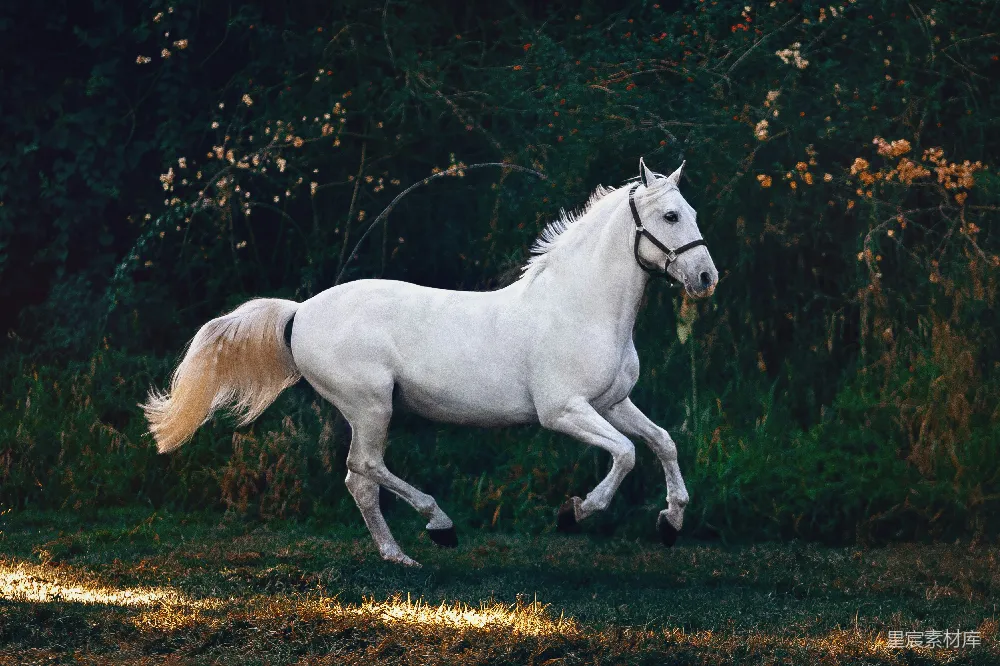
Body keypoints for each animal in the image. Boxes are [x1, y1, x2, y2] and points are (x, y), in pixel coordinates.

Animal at [143, 158, 718, 566]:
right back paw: (438, 526)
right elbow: (625, 454)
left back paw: (399, 556)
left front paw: (671, 522)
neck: (580, 307)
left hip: (370, 410)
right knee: (365, 468)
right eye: (671, 215)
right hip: (371, 405)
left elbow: (662, 441)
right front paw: (575, 513)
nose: (706, 278)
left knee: (359, 480)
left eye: (693, 213)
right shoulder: (563, 411)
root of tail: (300, 311)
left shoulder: (613, 402)